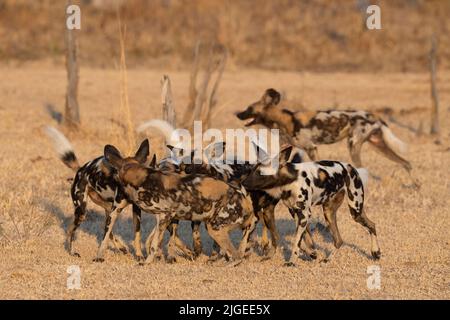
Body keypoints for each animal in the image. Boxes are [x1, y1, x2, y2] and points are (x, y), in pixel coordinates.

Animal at [43, 126, 147, 262]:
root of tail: (81, 170)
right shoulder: (115, 211)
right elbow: (104, 239)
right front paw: (99, 257)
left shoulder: (135, 211)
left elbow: (137, 235)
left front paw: (139, 256)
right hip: (82, 211)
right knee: (71, 230)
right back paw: (72, 252)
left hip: (107, 208)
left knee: (106, 228)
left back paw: (121, 248)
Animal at [102, 140, 256, 264]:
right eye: (183, 165)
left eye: (199, 163)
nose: (188, 171)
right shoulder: (174, 217)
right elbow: (166, 239)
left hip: (226, 224)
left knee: (241, 243)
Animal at [236, 89, 418, 186]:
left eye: (249, 108)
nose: (237, 114)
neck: (282, 120)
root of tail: (374, 116)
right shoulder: (286, 147)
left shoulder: (311, 148)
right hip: (378, 146)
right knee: (406, 163)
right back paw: (417, 186)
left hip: (353, 146)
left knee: (363, 169)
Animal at [243, 145, 380, 264]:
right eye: (251, 170)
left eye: (260, 173)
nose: (243, 183)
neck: (291, 180)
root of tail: (350, 167)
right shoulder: (296, 213)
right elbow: (305, 237)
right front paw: (311, 252)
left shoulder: (304, 214)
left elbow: (296, 242)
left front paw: (291, 262)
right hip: (329, 212)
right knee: (339, 241)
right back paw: (327, 260)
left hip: (355, 210)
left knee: (371, 225)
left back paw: (376, 252)